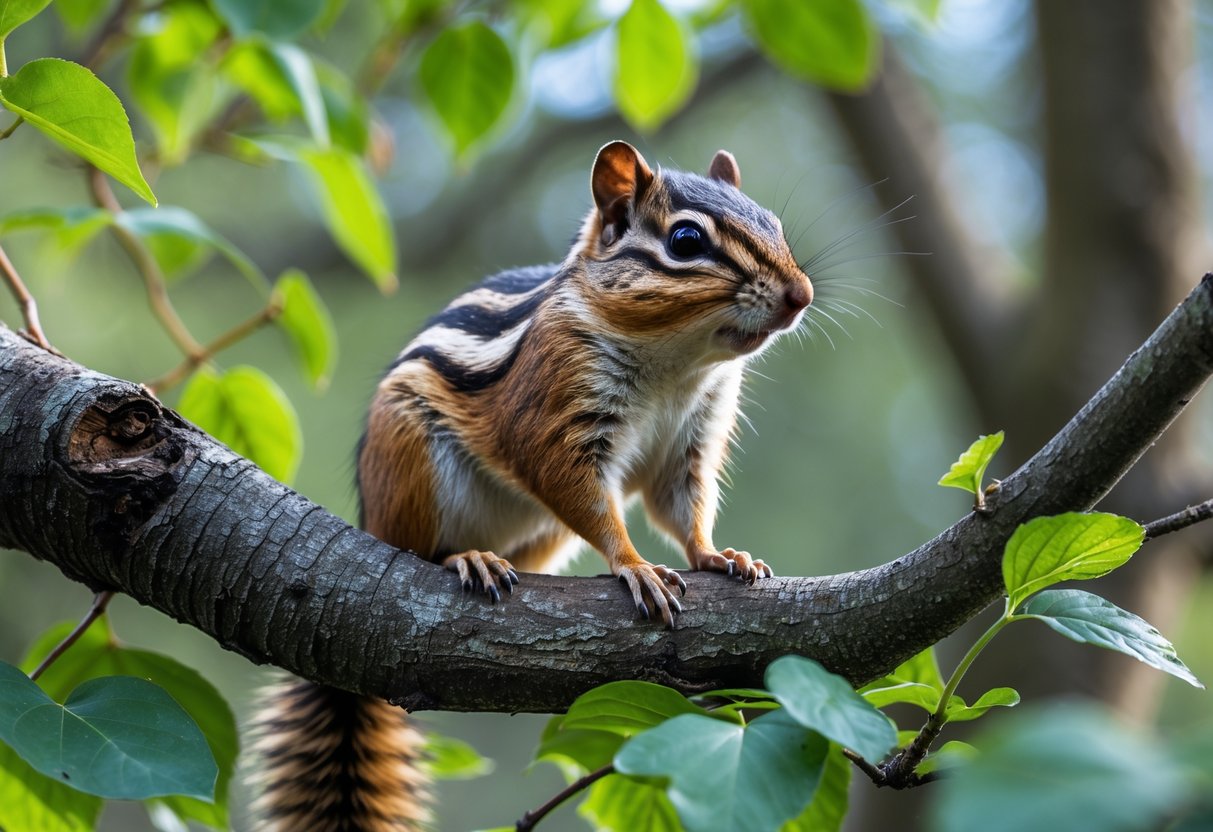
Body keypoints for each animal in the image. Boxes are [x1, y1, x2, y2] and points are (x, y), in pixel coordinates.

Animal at [249, 141, 813, 831]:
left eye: (774, 223)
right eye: (685, 240)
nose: (801, 294)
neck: (676, 364)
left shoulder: (691, 441)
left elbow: (682, 508)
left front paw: (720, 555)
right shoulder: (554, 410)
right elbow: (574, 488)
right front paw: (635, 566)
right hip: (410, 469)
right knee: (415, 548)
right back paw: (467, 557)